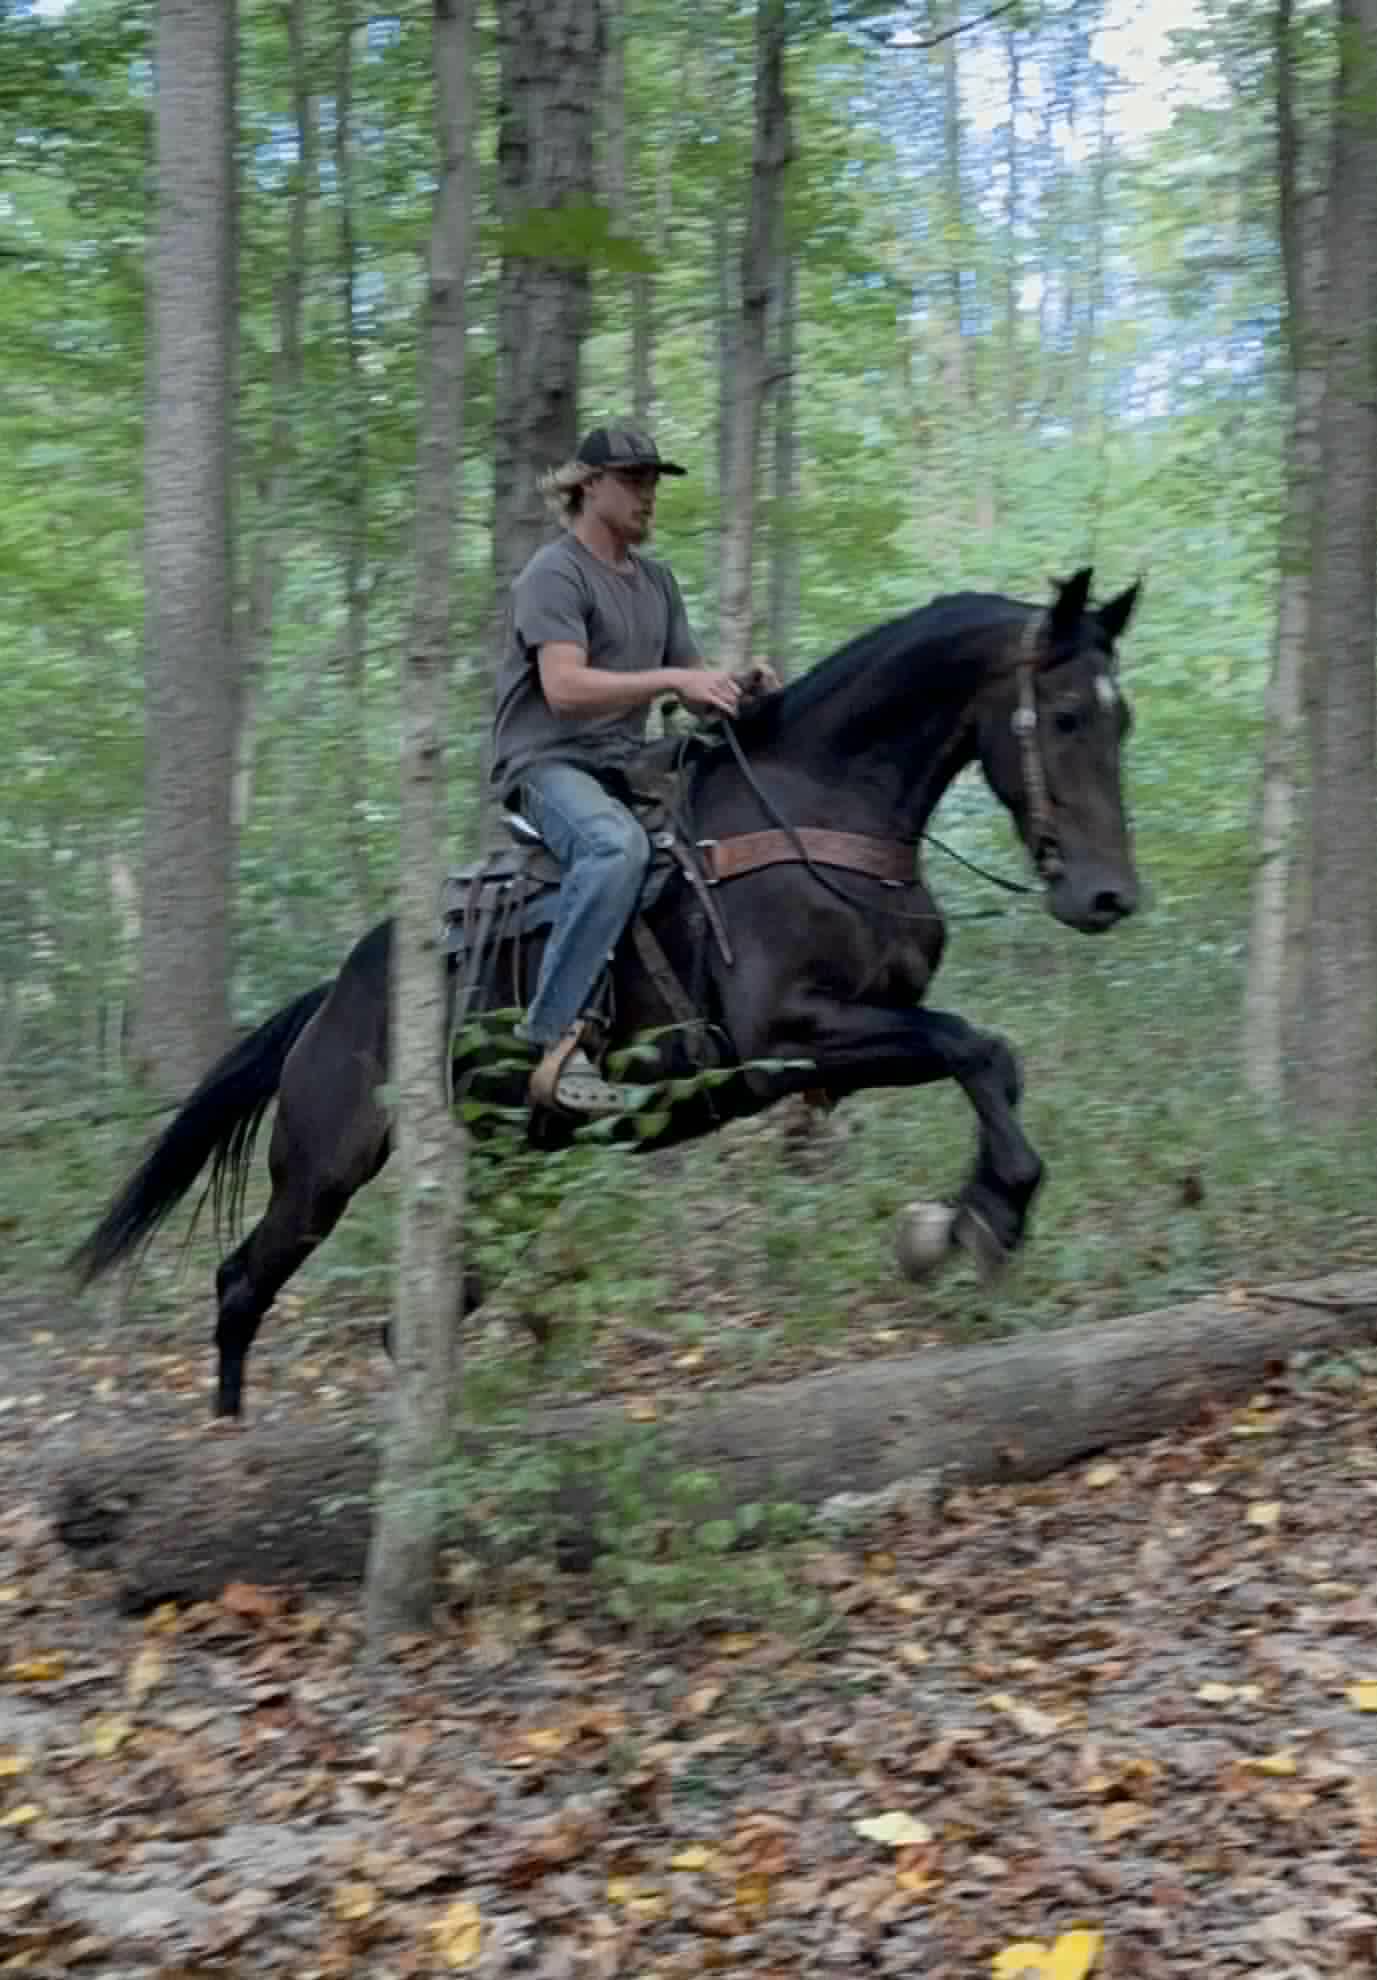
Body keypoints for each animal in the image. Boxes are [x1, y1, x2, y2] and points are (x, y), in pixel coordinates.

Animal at [72, 566, 1142, 1419]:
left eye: (1120, 718)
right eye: (1065, 715)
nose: (1107, 897)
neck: (819, 812)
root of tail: (329, 1000)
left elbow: (988, 1059)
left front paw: (966, 1216)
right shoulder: (783, 1040)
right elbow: (971, 1045)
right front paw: (978, 1221)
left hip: (515, 1164)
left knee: (416, 1314)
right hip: (324, 1166)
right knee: (240, 1284)